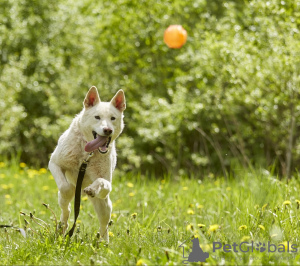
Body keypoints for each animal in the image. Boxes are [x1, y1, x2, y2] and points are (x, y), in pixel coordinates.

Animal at [49, 86, 125, 242]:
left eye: (113, 118)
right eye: (97, 117)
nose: (108, 130)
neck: (87, 153)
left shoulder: (107, 183)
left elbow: (101, 181)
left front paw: (92, 189)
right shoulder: (54, 163)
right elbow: (65, 188)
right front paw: (70, 192)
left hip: (104, 205)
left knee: (104, 224)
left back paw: (103, 243)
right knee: (66, 210)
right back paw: (62, 228)